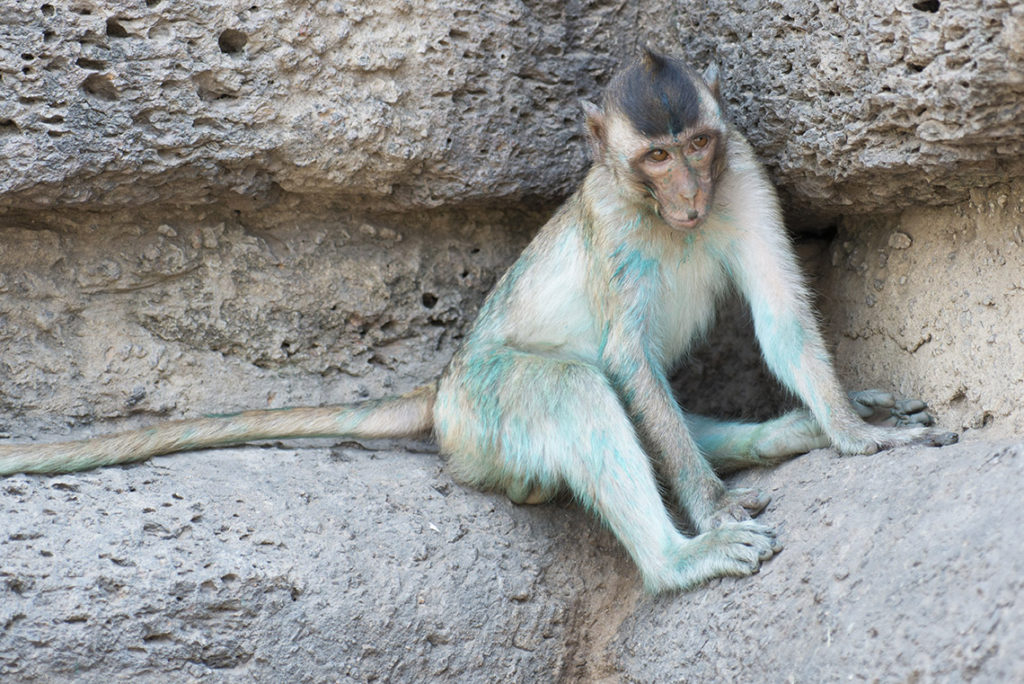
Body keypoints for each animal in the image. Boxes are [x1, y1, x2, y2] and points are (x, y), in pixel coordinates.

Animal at [4, 49, 954, 593]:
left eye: (697, 146)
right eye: (654, 157)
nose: (688, 195)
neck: (664, 211)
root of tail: (442, 391)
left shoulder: (743, 173)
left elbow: (782, 316)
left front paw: (851, 430)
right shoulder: (614, 222)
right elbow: (626, 360)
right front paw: (716, 512)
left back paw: (788, 433)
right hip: (485, 415)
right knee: (576, 390)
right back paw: (675, 562)